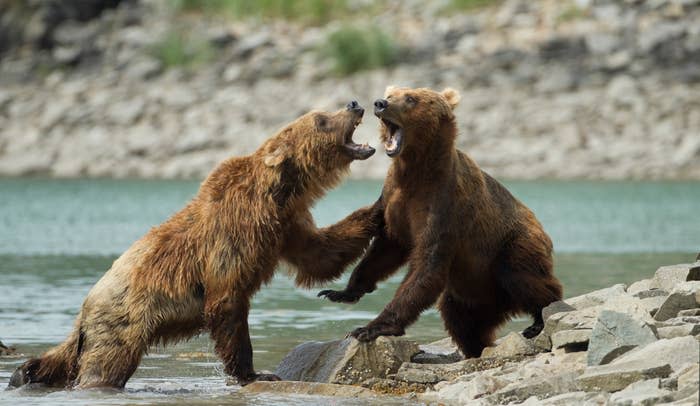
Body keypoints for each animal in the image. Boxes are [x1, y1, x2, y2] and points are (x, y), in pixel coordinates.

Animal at [8, 100, 380, 390]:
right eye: (320, 119)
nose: (353, 104)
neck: (278, 193)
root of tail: (86, 306)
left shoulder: (286, 227)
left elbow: (319, 254)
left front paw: (377, 208)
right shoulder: (232, 237)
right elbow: (228, 302)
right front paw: (254, 372)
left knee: (61, 359)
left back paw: (24, 373)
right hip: (122, 321)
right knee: (106, 365)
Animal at [318, 86, 564, 358]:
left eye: (410, 98)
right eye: (391, 93)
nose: (380, 103)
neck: (415, 171)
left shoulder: (443, 205)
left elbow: (427, 264)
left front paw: (369, 327)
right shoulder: (396, 201)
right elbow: (385, 250)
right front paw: (340, 291)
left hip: (512, 246)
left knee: (521, 276)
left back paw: (539, 319)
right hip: (469, 294)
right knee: (461, 321)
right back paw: (475, 348)